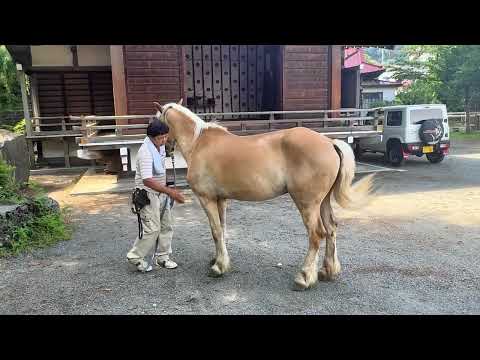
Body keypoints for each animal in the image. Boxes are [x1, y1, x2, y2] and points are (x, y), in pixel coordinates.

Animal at [156, 99, 374, 290]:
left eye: (157, 122)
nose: (165, 149)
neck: (199, 142)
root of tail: (329, 142)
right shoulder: (221, 199)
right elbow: (222, 229)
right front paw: (219, 259)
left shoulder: (206, 198)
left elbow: (215, 230)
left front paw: (218, 267)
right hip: (323, 202)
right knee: (331, 229)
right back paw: (328, 271)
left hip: (307, 204)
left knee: (316, 234)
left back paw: (304, 278)